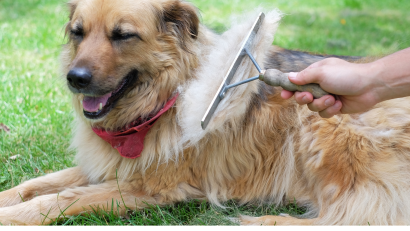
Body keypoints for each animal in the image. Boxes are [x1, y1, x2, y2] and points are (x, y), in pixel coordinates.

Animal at [0, 0, 410, 225]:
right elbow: (35, 185)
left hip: (321, 130)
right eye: (78, 32)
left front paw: (15, 217)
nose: (75, 78)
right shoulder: (108, 167)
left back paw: (264, 222)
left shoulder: (149, 187)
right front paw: (9, 200)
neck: (161, 102)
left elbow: (62, 198)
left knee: (361, 215)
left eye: (123, 35)